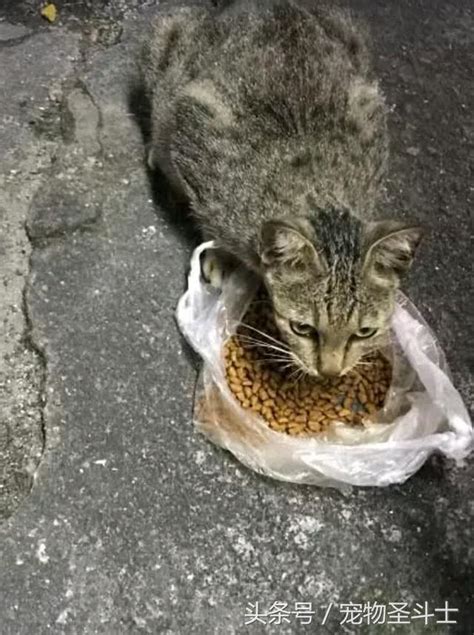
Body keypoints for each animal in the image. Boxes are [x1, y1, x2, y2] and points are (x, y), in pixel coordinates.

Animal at [141, 0, 422, 378]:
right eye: (303, 328)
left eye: (365, 332)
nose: (330, 373)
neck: (316, 192)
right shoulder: (195, 133)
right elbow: (206, 217)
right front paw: (223, 255)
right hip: (164, 40)